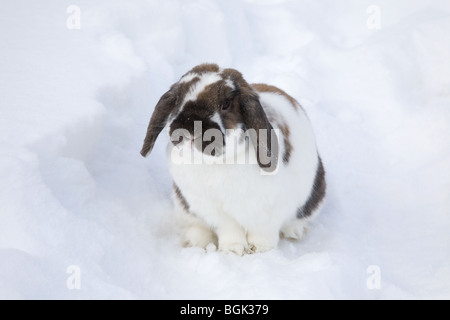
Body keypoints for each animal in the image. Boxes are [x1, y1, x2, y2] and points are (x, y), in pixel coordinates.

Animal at [140, 63, 324, 255]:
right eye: (177, 100)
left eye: (226, 104)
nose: (189, 126)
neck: (217, 162)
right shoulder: (215, 210)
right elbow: (229, 230)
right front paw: (233, 251)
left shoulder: (268, 210)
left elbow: (263, 232)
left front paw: (259, 250)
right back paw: (196, 241)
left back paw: (295, 232)